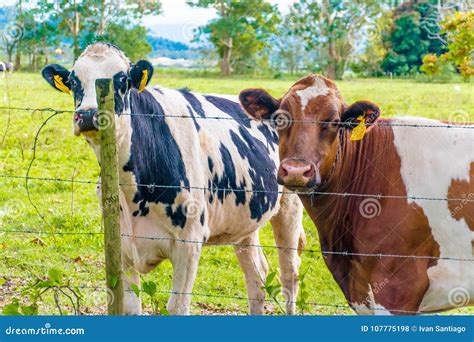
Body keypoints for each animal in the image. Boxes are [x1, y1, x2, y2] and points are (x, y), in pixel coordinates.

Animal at [42, 43, 306, 316]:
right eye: (73, 81)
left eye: (123, 79)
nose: (87, 115)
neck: (133, 193)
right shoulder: (122, 245)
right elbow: (130, 307)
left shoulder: (189, 243)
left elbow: (177, 307)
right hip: (245, 221)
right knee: (257, 277)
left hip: (290, 206)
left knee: (290, 274)